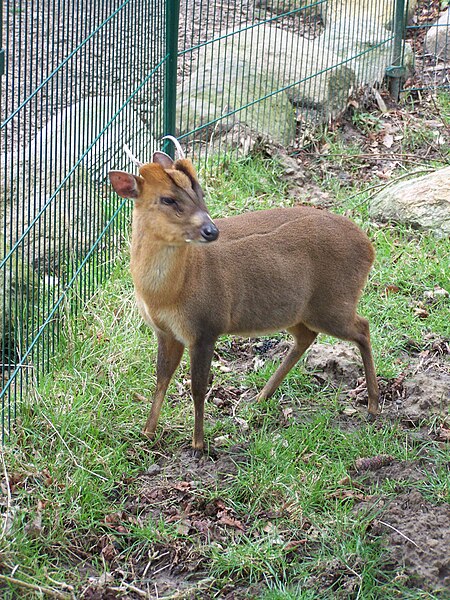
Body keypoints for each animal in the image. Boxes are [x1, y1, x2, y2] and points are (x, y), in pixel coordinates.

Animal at [110, 139, 380, 454]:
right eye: (168, 199)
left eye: (199, 191)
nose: (211, 230)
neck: (170, 291)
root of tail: (369, 247)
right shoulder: (166, 331)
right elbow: (161, 379)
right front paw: (147, 433)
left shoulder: (206, 326)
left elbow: (197, 388)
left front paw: (198, 444)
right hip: (296, 310)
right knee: (307, 337)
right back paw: (262, 396)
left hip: (334, 302)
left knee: (362, 327)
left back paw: (373, 405)